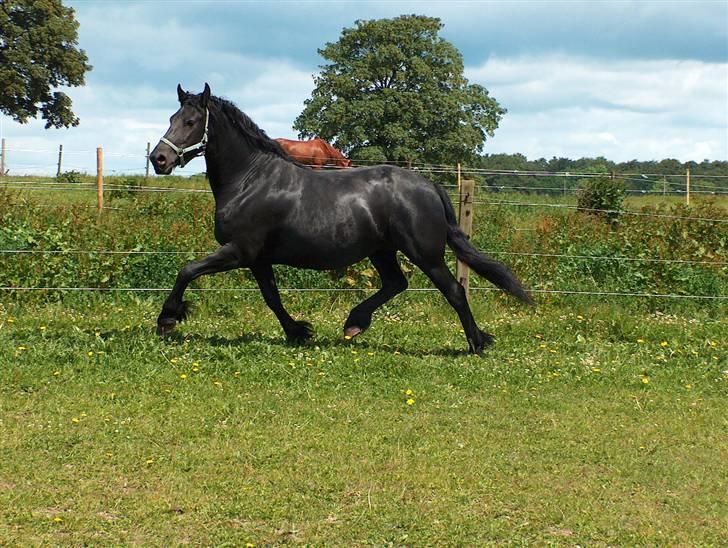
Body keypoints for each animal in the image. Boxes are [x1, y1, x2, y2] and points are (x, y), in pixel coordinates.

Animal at [149, 83, 536, 354]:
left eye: (190, 121)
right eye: (171, 119)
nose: (159, 159)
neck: (250, 180)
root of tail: (429, 185)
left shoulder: (239, 251)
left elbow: (187, 270)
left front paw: (167, 319)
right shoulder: (258, 259)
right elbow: (272, 298)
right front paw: (299, 331)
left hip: (424, 253)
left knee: (453, 290)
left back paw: (476, 342)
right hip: (382, 251)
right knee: (396, 283)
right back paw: (354, 324)